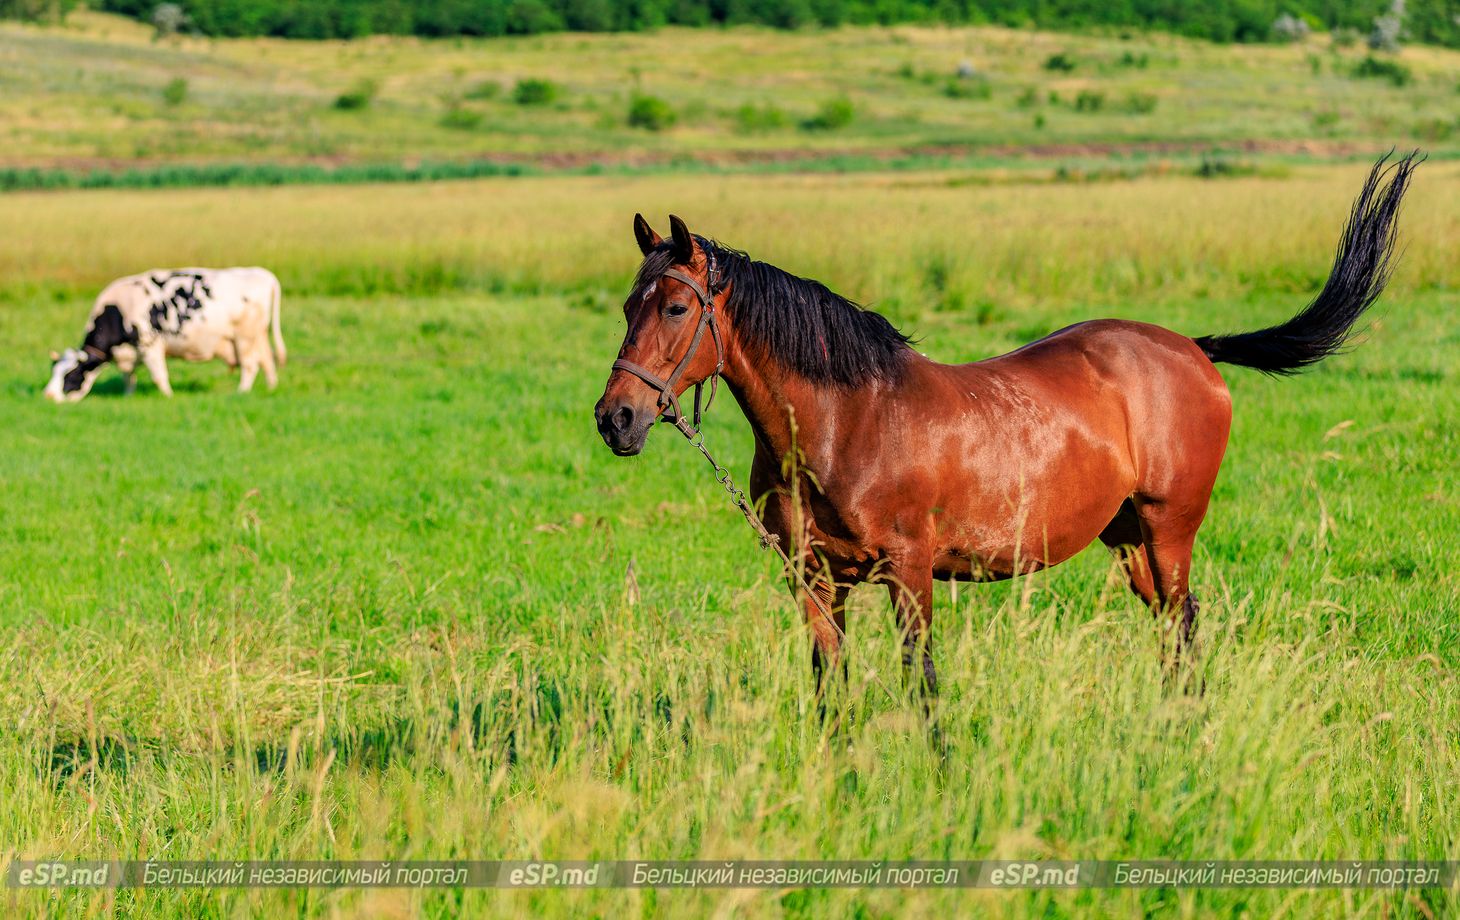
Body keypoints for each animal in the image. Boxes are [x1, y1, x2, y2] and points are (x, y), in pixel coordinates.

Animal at [44, 262, 284, 400]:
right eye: (54, 370)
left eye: (70, 373)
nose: (48, 396)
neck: (118, 311)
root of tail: (264, 274)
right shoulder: (130, 352)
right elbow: (128, 377)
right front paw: (128, 396)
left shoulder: (150, 345)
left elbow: (159, 376)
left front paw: (169, 396)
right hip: (259, 335)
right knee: (267, 361)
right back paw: (271, 388)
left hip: (244, 337)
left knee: (250, 365)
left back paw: (241, 391)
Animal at [592, 154, 1413, 695]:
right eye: (628, 305)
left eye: (676, 306)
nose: (616, 418)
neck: (844, 422)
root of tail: (1190, 347)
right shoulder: (816, 581)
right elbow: (831, 687)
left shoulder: (910, 571)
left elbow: (921, 678)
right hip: (1128, 541)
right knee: (1169, 632)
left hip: (1169, 530)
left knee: (1183, 627)